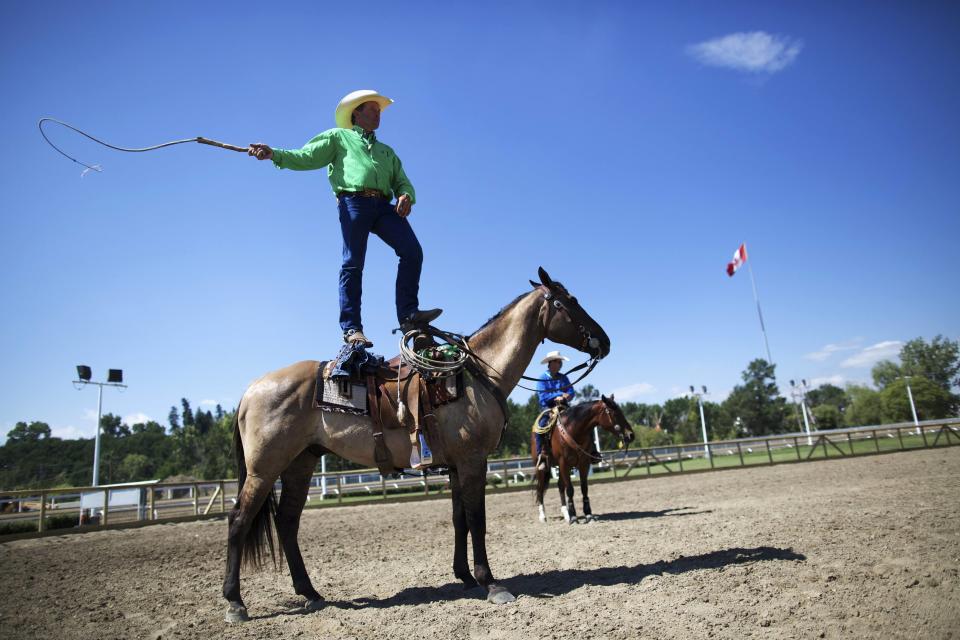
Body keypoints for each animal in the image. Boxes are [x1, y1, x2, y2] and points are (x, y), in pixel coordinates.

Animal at [223, 268, 608, 624]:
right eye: (569, 302)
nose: (604, 341)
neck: (476, 376)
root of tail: (251, 389)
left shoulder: (455, 466)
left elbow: (459, 519)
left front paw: (465, 576)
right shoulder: (473, 461)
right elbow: (477, 519)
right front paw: (491, 583)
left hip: (299, 465)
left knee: (287, 522)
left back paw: (311, 593)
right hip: (264, 470)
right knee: (239, 520)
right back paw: (235, 603)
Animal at [536, 396, 632, 524]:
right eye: (614, 413)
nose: (631, 435)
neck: (573, 431)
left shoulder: (584, 464)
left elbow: (584, 488)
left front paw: (588, 514)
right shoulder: (564, 463)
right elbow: (570, 489)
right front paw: (573, 517)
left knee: (560, 486)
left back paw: (566, 514)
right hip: (543, 468)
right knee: (540, 489)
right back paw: (543, 516)